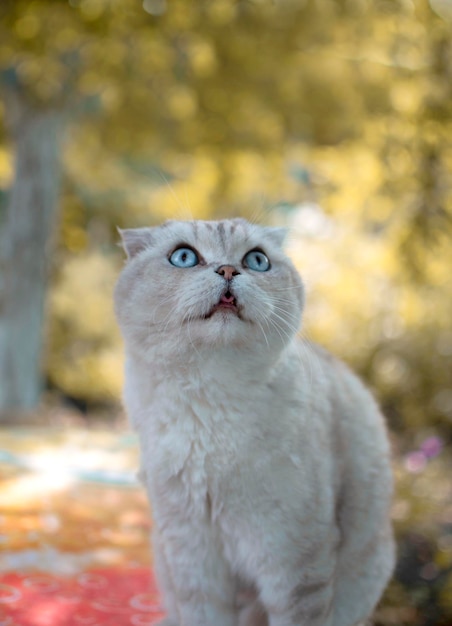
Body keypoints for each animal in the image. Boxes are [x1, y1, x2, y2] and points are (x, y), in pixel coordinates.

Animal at [115, 218, 394, 624]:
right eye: (183, 257)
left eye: (256, 260)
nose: (229, 271)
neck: (213, 401)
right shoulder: (193, 553)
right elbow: (203, 617)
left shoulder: (292, 560)